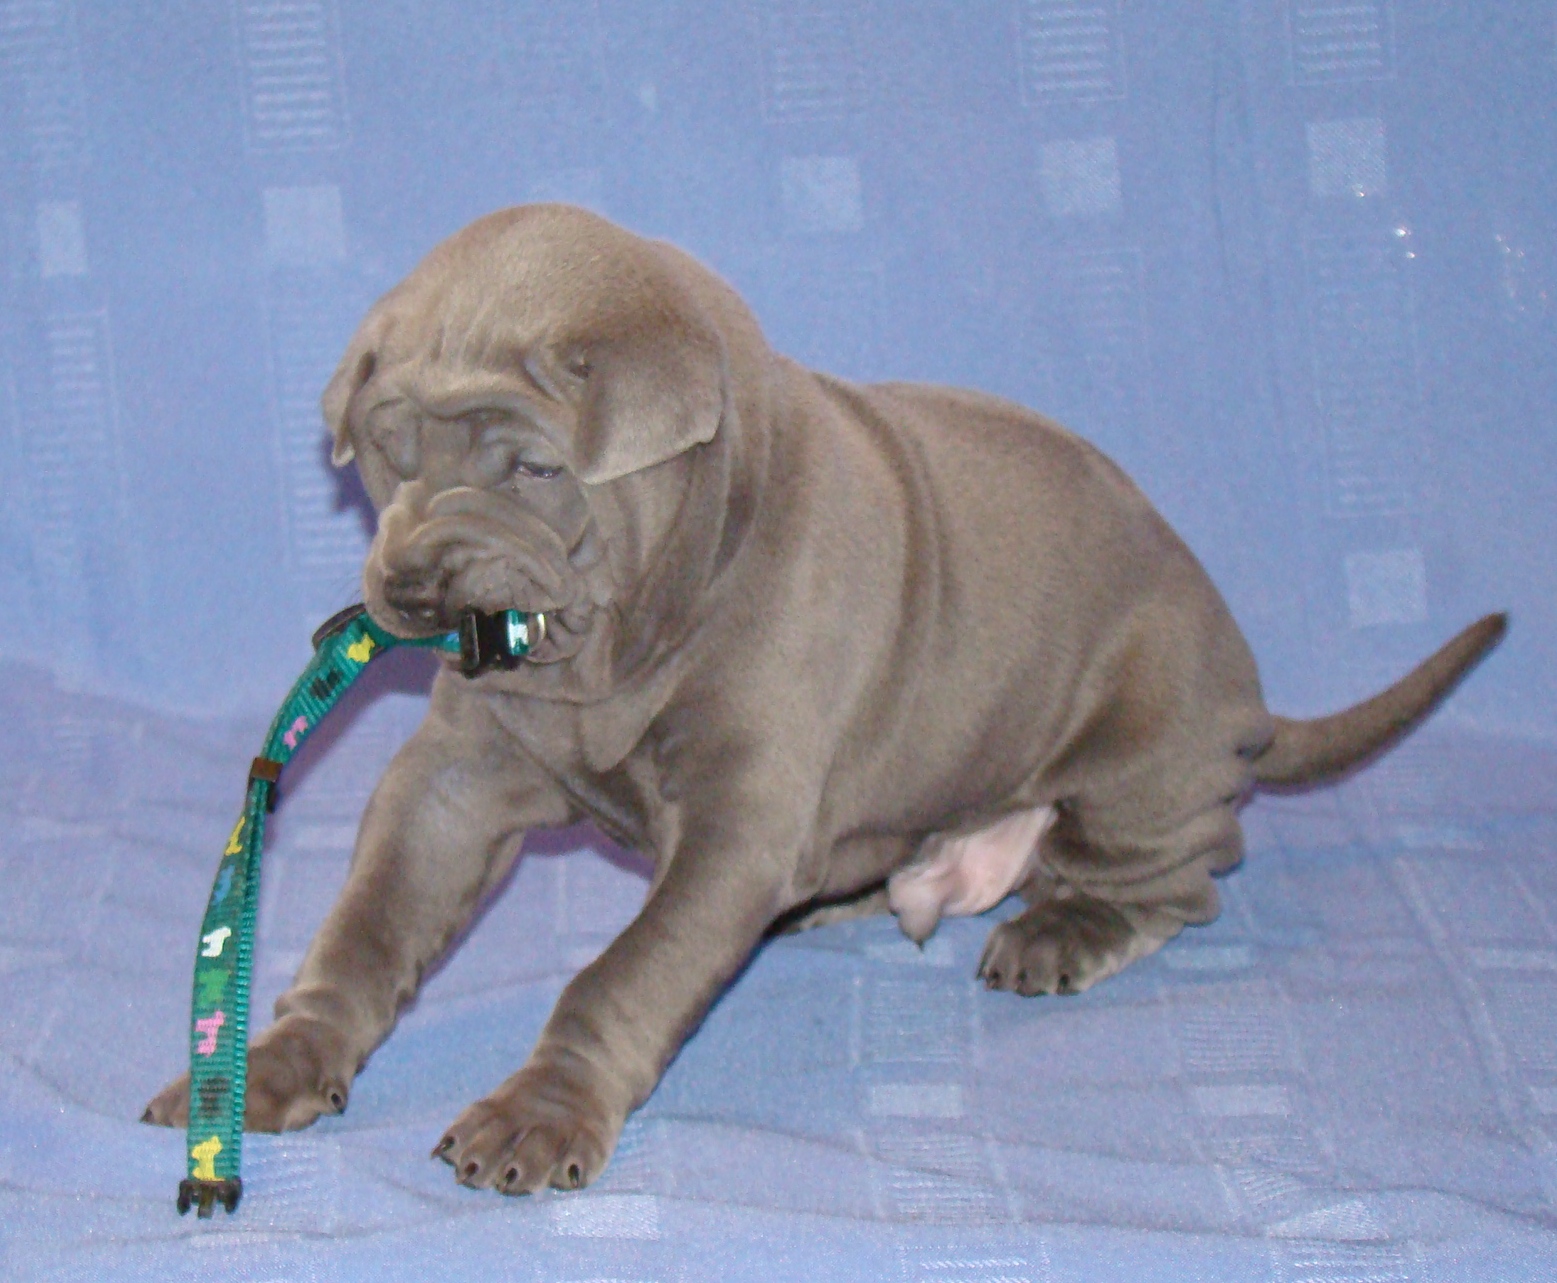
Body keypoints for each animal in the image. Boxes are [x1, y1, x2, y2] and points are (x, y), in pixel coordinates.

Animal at [145, 204, 1506, 1195]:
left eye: (533, 466)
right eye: (386, 451)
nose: (413, 583)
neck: (622, 645)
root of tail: (1250, 699)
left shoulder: (739, 818)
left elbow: (622, 973)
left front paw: (537, 1114)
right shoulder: (458, 776)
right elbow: (368, 924)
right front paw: (262, 1062)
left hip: (1139, 756)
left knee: (1181, 874)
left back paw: (1065, 926)